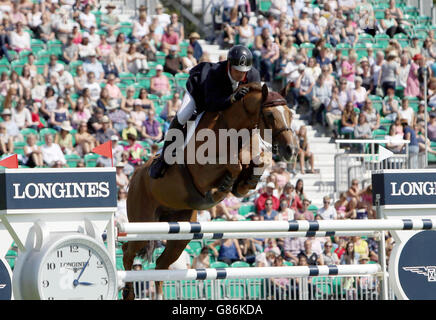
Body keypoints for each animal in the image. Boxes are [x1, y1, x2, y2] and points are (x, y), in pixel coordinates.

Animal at [122, 83, 300, 300]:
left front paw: (243, 183)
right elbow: (233, 164)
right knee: (127, 252)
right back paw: (128, 292)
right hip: (143, 224)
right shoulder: (202, 171)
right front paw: (222, 189)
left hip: (180, 231)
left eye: (290, 114)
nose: (291, 150)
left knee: (161, 264)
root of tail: (136, 175)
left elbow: (260, 160)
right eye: (270, 115)